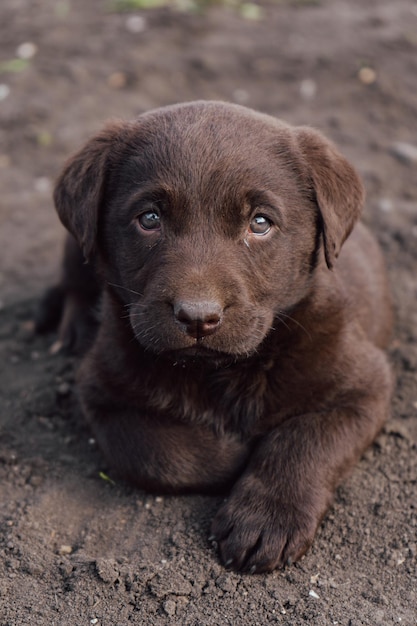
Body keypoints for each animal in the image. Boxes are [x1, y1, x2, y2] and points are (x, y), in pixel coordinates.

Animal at [36, 101, 394, 572]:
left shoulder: (365, 383)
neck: (218, 372)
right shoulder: (101, 391)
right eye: (149, 219)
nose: (197, 317)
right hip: (76, 246)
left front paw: (266, 518)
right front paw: (234, 452)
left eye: (260, 223)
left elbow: (306, 438)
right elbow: (161, 452)